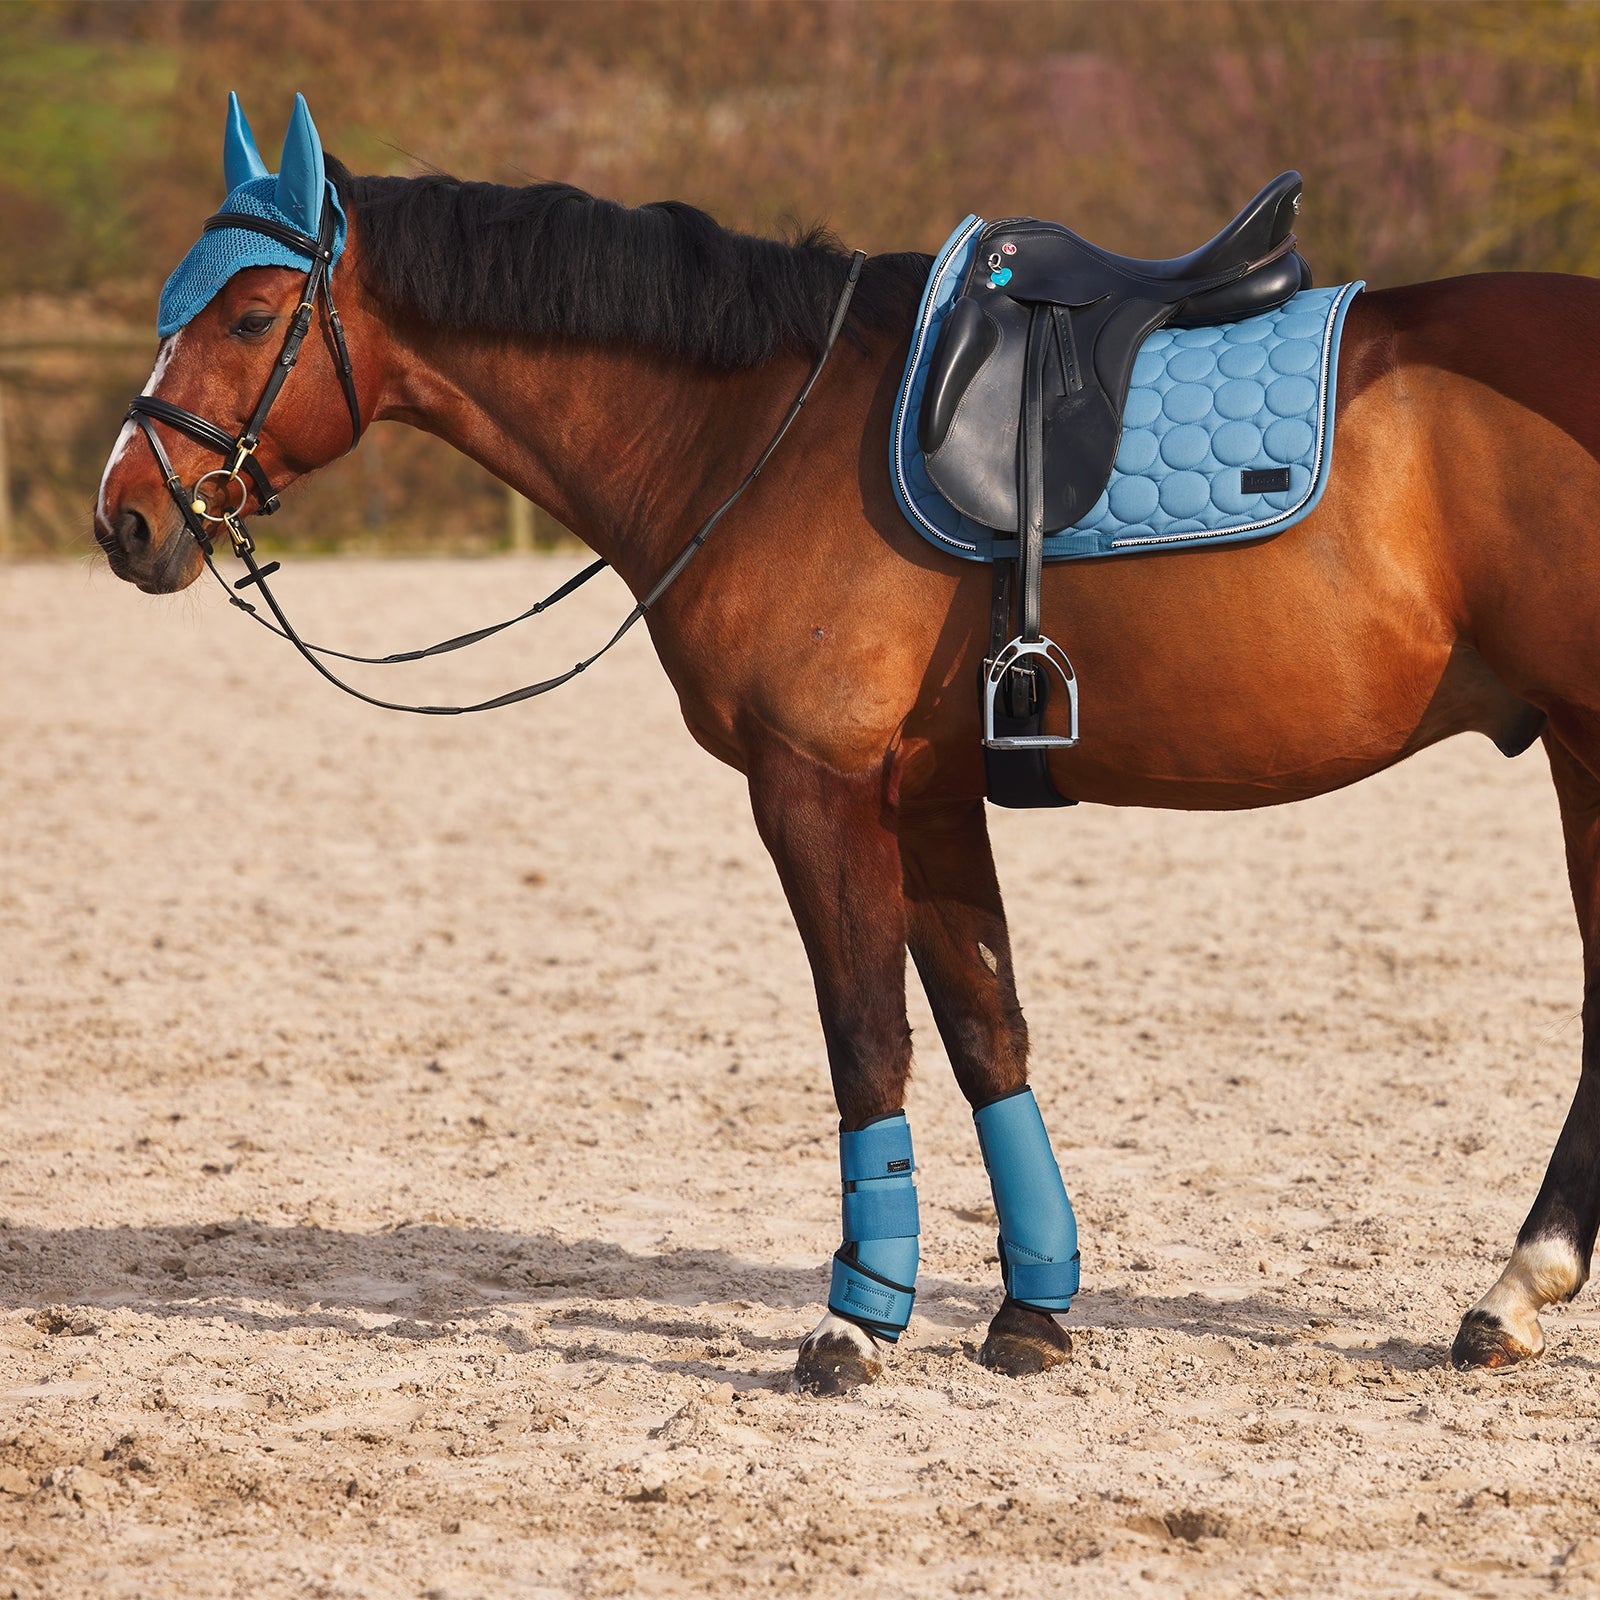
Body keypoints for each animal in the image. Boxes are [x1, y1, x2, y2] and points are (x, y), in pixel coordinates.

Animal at [96, 94, 1600, 1393]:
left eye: (251, 312)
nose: (125, 517)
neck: (754, 427)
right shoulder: (927, 794)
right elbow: (988, 1031)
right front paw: (1032, 1312)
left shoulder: (812, 788)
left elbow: (865, 1039)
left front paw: (855, 1321)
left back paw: (1514, 1288)